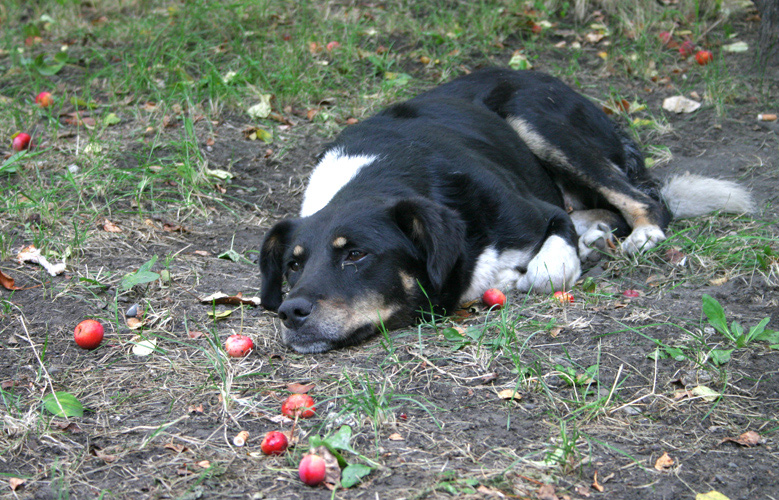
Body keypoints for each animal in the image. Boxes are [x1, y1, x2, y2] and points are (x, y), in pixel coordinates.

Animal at [258, 68, 752, 354]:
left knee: (646, 200)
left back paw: (641, 235)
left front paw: (529, 273)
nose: (291, 312)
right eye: (292, 267)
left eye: (356, 254)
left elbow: (549, 268)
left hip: (534, 117)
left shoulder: (541, 213)